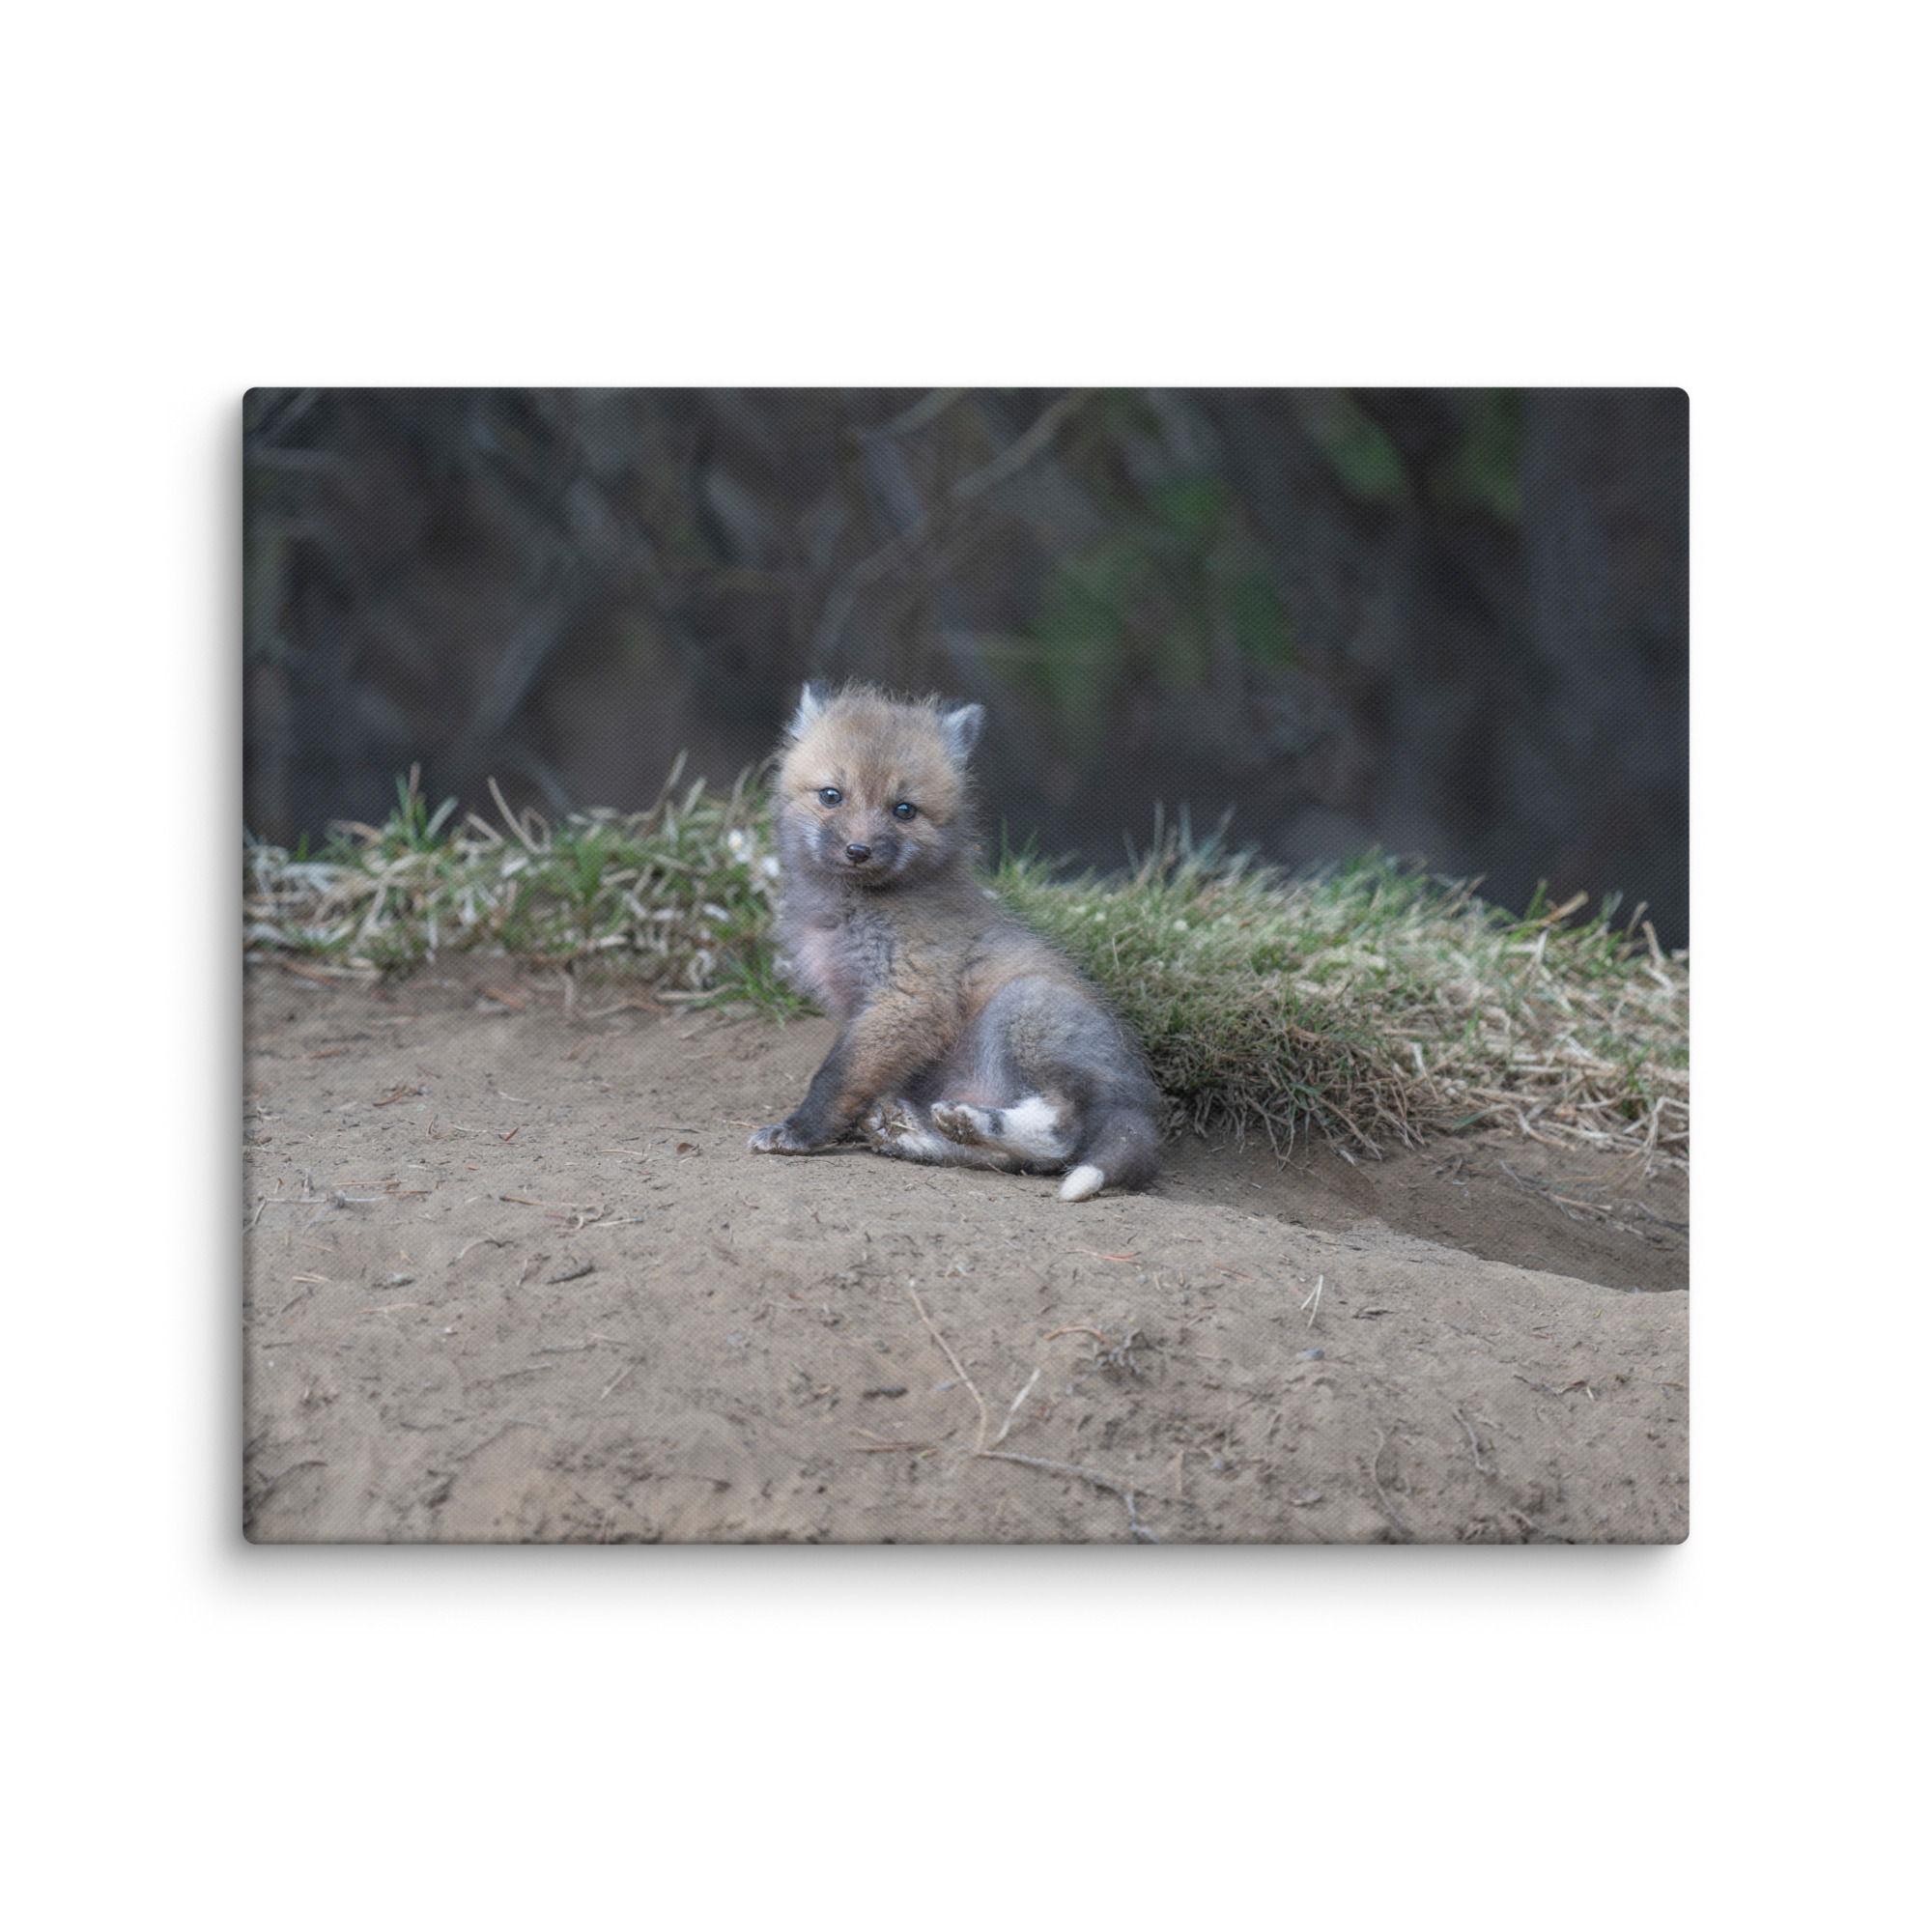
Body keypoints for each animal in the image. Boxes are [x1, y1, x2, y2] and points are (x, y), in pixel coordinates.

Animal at [747, 683, 1164, 1201]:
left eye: (904, 810)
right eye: (831, 796)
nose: (858, 851)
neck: (851, 910)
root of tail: (1139, 1102)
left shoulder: (909, 999)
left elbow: (836, 1077)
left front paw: (800, 1132)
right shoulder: (862, 1010)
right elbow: (856, 1077)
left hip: (1023, 1008)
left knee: (1061, 1134)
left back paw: (969, 1122)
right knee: (1015, 1161)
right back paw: (919, 1133)